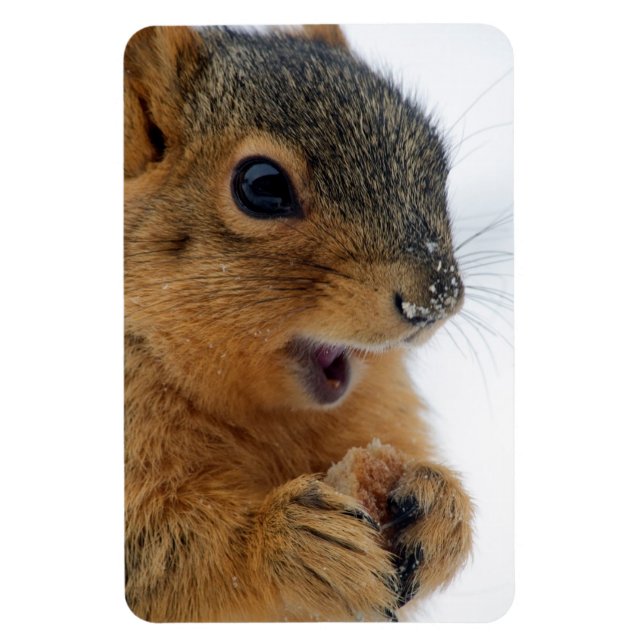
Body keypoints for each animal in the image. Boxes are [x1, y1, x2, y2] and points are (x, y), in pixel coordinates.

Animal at [124, 24, 473, 622]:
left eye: (436, 158)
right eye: (262, 186)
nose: (436, 299)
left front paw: (440, 506)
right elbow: (155, 556)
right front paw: (288, 539)